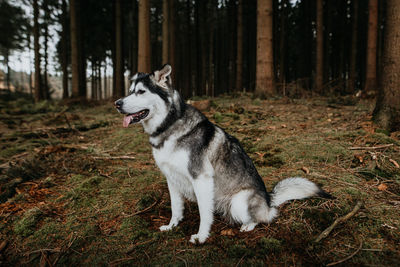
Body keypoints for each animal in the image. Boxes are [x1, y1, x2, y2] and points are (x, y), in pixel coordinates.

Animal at [113, 63, 332, 244]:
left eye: (141, 92)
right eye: (130, 92)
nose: (117, 103)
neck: (169, 125)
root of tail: (268, 199)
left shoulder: (201, 179)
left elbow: (204, 213)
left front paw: (201, 237)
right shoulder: (171, 178)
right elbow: (176, 208)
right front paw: (172, 226)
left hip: (239, 202)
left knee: (264, 218)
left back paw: (248, 225)